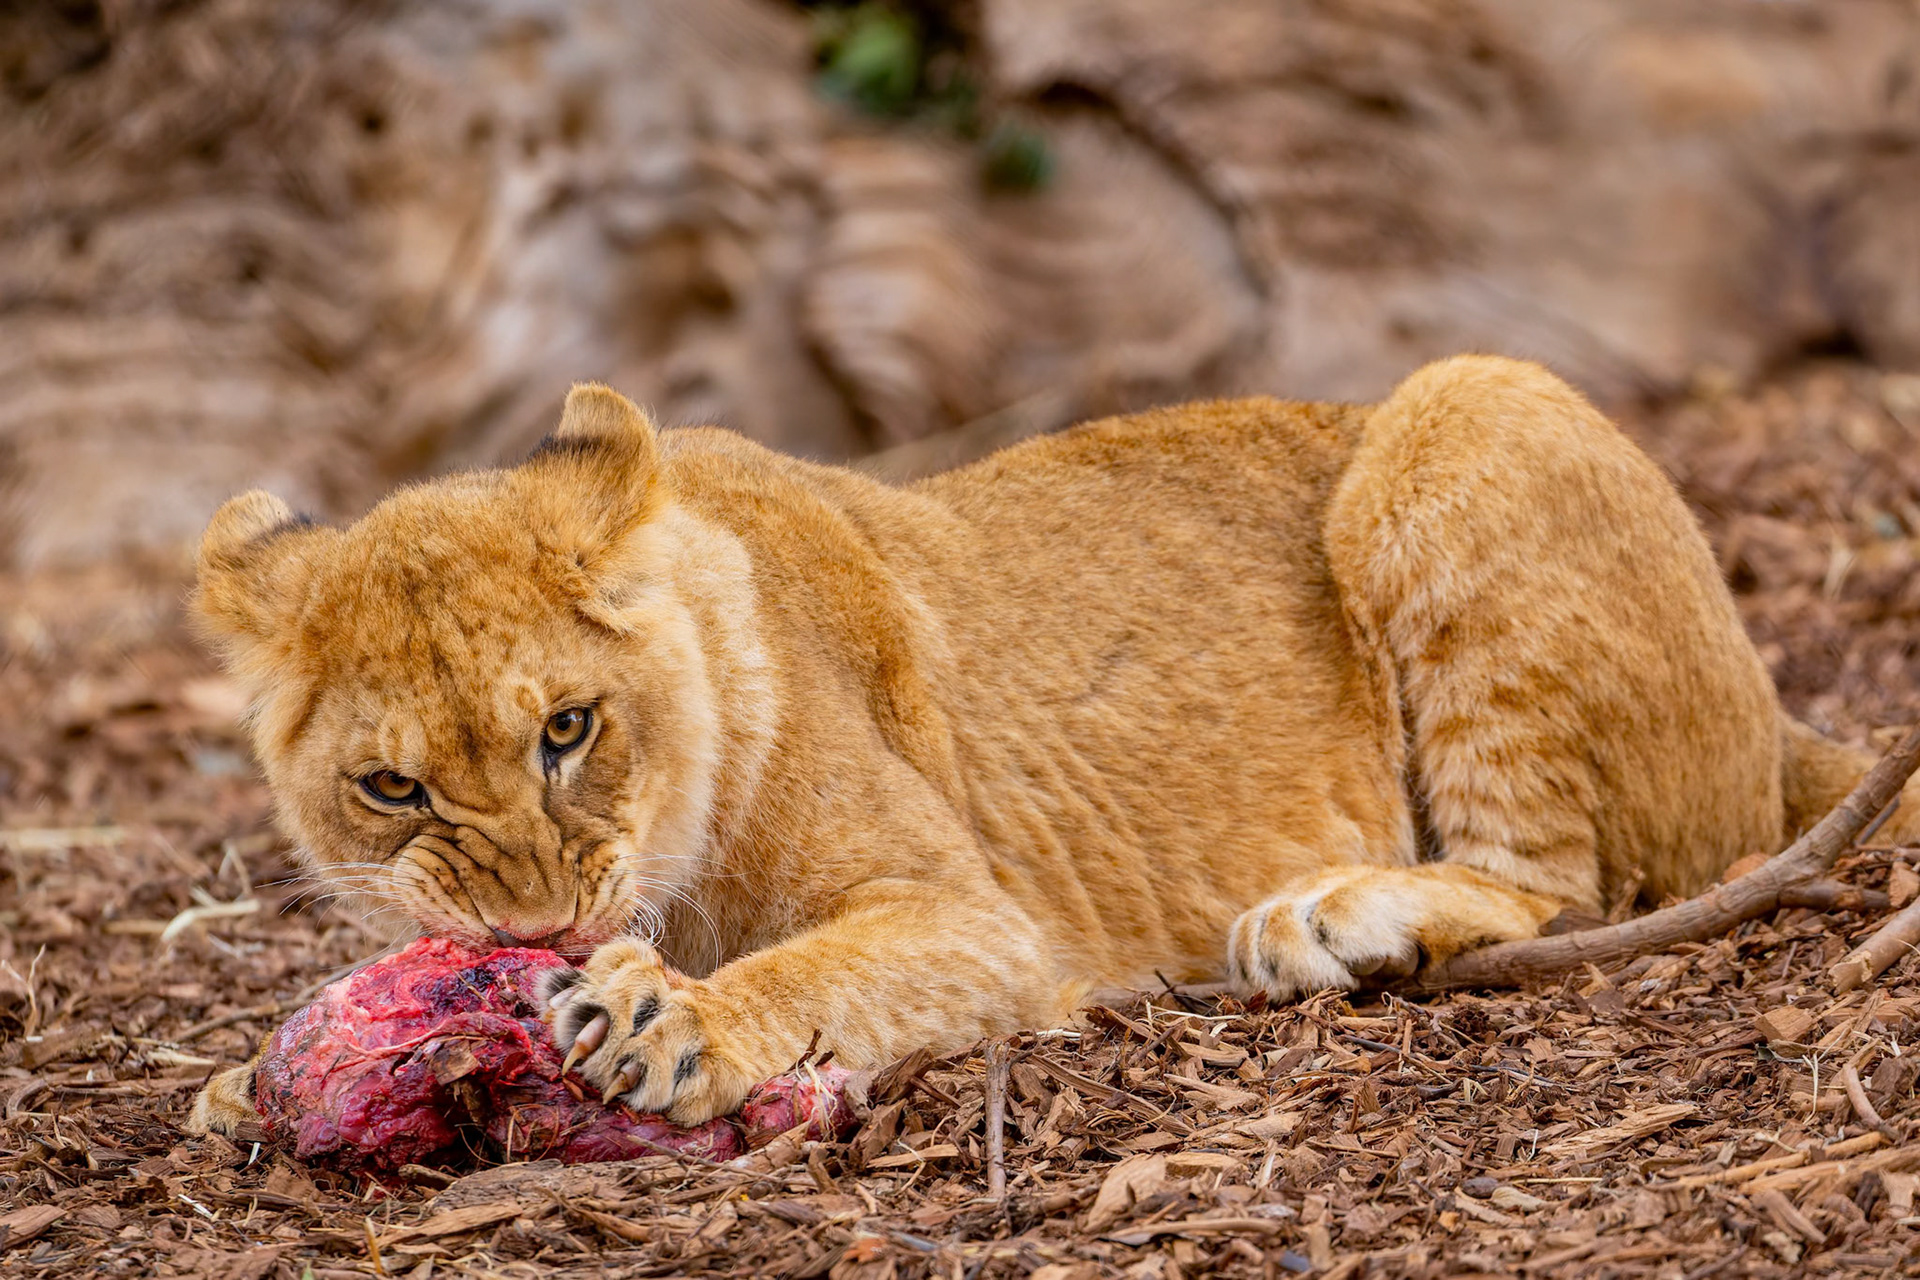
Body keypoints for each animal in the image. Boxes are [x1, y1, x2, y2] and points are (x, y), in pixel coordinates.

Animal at [186, 355, 1918, 1134]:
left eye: (567, 729)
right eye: (390, 789)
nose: (539, 933)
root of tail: (1788, 711)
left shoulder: (981, 922)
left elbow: (811, 970)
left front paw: (673, 1017)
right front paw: (231, 1086)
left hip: (1461, 405)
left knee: (1565, 888)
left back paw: (1334, 917)